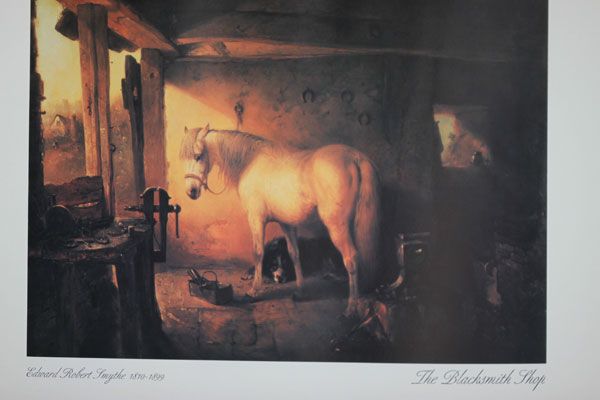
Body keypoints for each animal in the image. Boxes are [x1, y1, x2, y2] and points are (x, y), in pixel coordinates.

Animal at [180, 124, 381, 316]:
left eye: (198, 156)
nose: (191, 191)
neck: (250, 163)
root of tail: (355, 157)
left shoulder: (256, 219)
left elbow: (258, 252)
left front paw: (253, 291)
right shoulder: (287, 223)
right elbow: (294, 254)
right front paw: (300, 292)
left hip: (337, 226)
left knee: (351, 259)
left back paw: (351, 307)